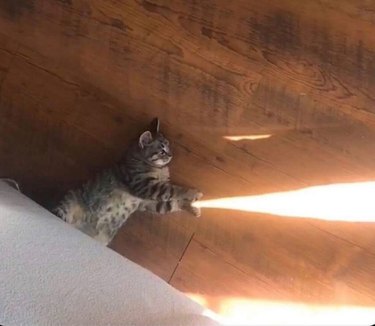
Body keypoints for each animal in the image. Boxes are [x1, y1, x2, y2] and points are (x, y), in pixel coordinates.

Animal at [53, 118, 203, 246]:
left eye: (169, 147)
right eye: (162, 151)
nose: (171, 155)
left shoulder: (147, 203)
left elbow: (172, 203)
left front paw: (193, 207)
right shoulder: (145, 186)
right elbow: (174, 190)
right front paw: (193, 193)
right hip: (68, 204)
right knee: (60, 211)